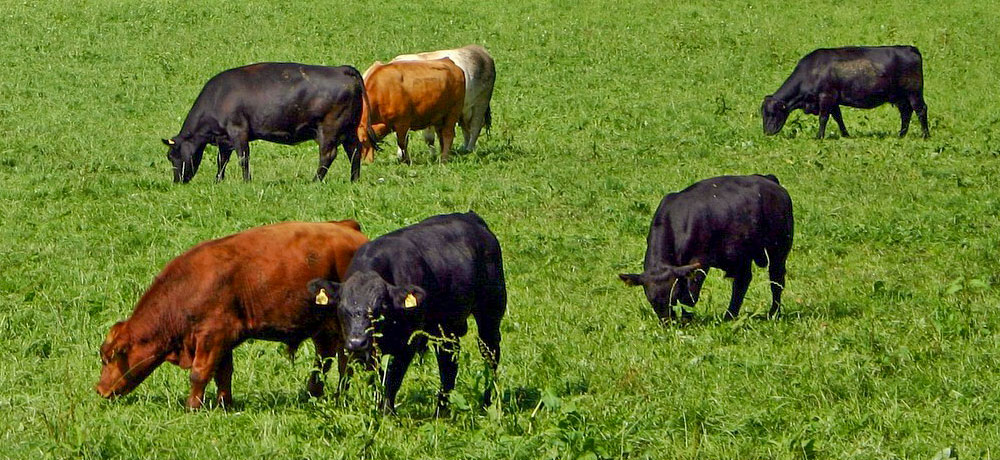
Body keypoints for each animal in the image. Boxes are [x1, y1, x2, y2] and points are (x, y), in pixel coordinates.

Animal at [93, 220, 368, 410]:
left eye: (108, 358)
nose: (99, 390)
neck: (188, 286)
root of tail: (347, 227)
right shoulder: (222, 340)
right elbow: (223, 374)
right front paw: (224, 404)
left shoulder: (212, 336)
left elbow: (200, 373)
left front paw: (192, 407)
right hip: (322, 328)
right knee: (326, 360)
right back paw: (314, 394)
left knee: (346, 362)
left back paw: (339, 397)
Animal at [162, 62, 380, 183]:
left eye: (172, 156)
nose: (177, 181)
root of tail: (341, 69)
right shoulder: (224, 138)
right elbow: (222, 160)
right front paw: (218, 180)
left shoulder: (238, 130)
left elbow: (243, 157)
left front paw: (246, 181)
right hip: (349, 129)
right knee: (354, 150)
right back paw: (354, 180)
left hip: (329, 128)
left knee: (328, 155)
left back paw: (315, 181)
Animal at [306, 211, 508, 414]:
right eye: (342, 307)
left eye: (381, 307)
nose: (357, 342)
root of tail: (471, 217)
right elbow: (376, 379)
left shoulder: (408, 342)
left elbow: (392, 379)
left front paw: (387, 412)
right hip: (445, 328)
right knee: (448, 362)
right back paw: (441, 411)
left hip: (490, 313)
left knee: (490, 356)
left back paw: (487, 403)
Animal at [620, 174, 792, 322]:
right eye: (651, 298)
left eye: (672, 297)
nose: (668, 323)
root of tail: (769, 180)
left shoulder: (699, 262)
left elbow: (688, 297)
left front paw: (687, 320)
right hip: (742, 253)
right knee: (742, 281)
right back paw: (729, 316)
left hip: (779, 249)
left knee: (776, 280)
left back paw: (773, 313)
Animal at [764, 46, 928, 140]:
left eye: (772, 113)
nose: (767, 132)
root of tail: (910, 48)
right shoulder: (833, 100)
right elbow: (838, 118)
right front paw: (845, 135)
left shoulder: (826, 97)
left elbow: (823, 118)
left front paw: (819, 137)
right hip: (901, 97)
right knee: (906, 113)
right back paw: (901, 135)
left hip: (914, 93)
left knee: (920, 110)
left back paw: (925, 135)